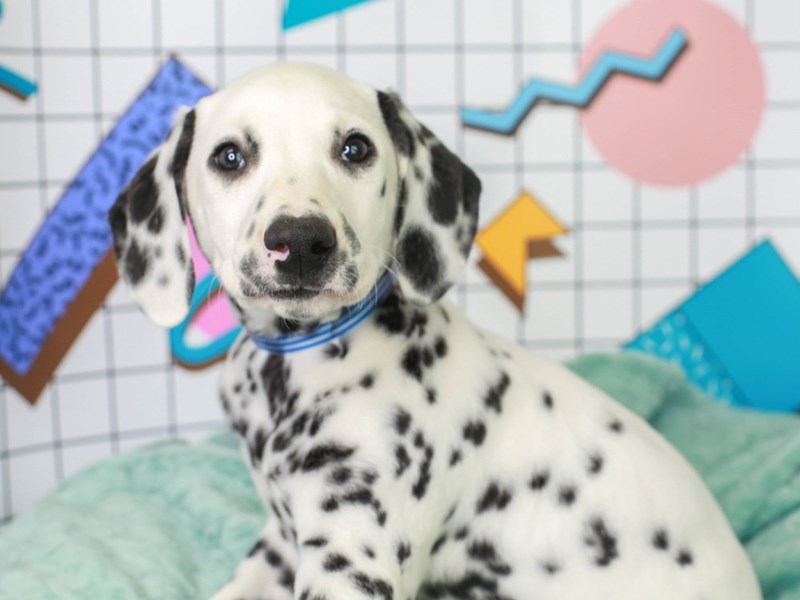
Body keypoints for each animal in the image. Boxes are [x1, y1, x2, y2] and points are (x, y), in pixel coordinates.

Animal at [108, 64, 764, 600]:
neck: (296, 366)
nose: (301, 241)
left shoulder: (353, 562)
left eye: (355, 148)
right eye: (229, 157)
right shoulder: (278, 543)